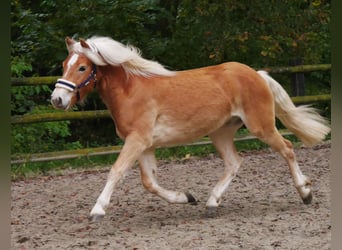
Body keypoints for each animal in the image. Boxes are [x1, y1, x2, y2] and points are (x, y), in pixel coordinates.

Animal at [50, 36, 328, 222]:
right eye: (64, 64)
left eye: (82, 67)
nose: (57, 99)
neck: (131, 90)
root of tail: (258, 74)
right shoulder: (144, 145)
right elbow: (149, 182)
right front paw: (186, 197)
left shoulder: (137, 140)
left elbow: (116, 171)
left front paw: (97, 209)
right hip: (221, 132)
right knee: (234, 163)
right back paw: (211, 203)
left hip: (261, 127)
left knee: (288, 149)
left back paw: (305, 193)